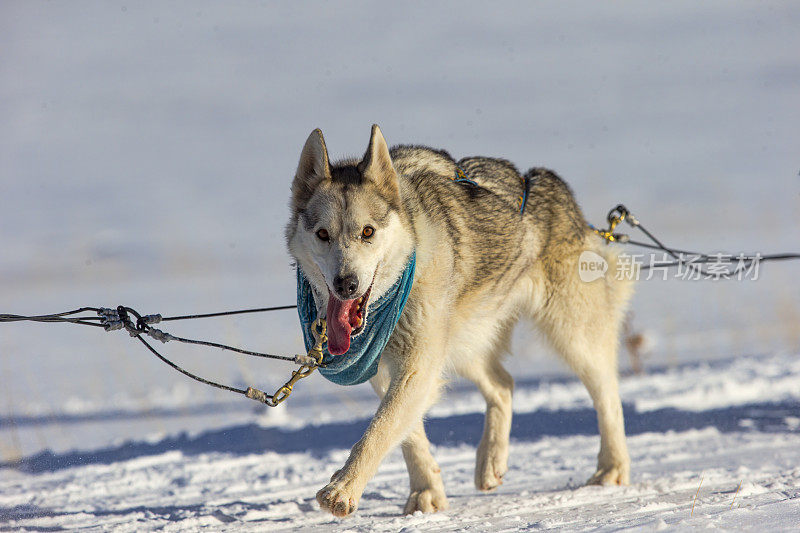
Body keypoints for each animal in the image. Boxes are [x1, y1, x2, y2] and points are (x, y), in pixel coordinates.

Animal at [284, 124, 636, 516]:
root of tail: (544, 181)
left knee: (607, 393)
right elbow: (406, 433)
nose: (346, 283)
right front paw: (426, 492)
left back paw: (612, 467)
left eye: (368, 232)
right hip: (465, 341)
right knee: (503, 384)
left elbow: (380, 429)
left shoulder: (417, 365)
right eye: (322, 234)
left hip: (572, 335)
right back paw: (491, 461)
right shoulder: (387, 369)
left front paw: (342, 488)